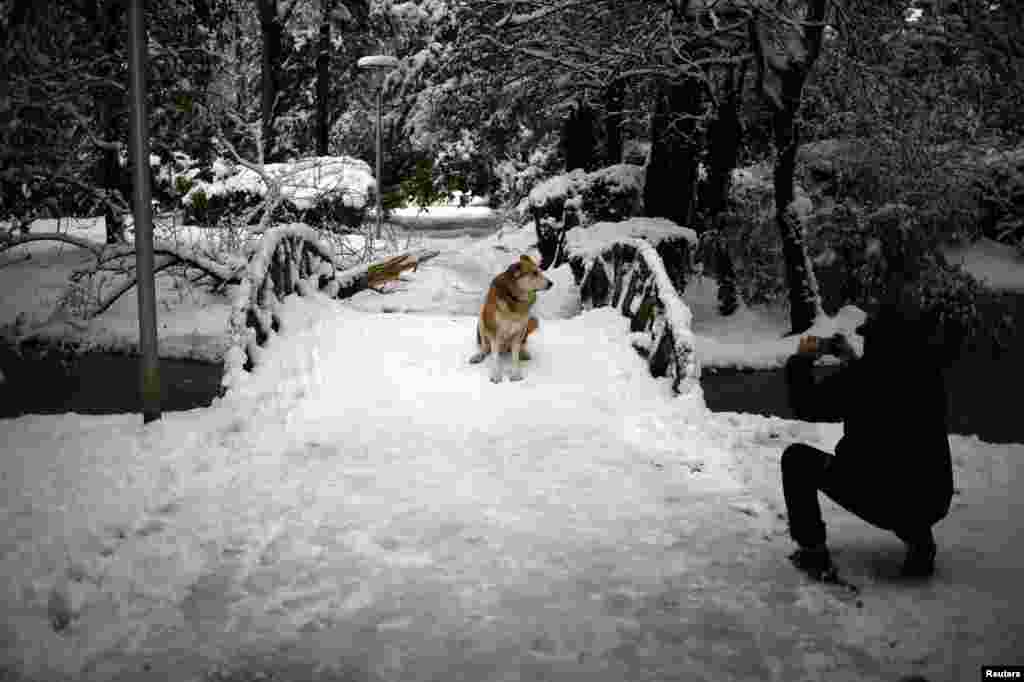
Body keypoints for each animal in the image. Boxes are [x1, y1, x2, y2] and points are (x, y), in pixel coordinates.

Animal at [468, 254, 552, 382]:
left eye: (539, 272)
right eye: (534, 273)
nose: (551, 283)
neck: (514, 298)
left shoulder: (519, 330)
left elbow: (515, 357)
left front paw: (516, 374)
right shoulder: (495, 332)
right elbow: (495, 357)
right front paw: (496, 375)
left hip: (526, 327)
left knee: (521, 344)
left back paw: (523, 353)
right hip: (481, 321)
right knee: (485, 347)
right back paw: (479, 355)